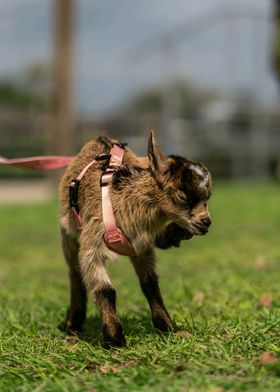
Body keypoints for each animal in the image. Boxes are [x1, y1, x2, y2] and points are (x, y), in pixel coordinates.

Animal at [59, 132, 212, 346]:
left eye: (208, 197)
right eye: (182, 196)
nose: (206, 223)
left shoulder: (141, 246)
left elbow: (150, 284)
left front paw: (168, 328)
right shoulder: (92, 242)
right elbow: (105, 289)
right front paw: (115, 340)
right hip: (68, 236)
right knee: (75, 274)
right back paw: (72, 323)